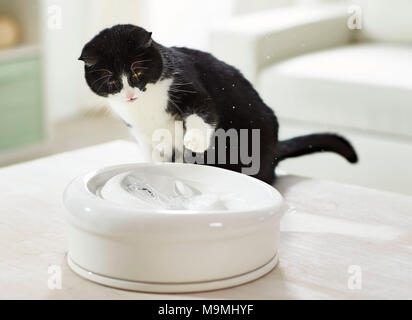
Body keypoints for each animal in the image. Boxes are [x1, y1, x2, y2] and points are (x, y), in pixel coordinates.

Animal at [80, 24, 358, 185]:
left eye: (137, 72)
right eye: (111, 80)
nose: (129, 94)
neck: (145, 106)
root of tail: (276, 151)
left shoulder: (190, 86)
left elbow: (203, 111)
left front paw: (194, 142)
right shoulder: (140, 131)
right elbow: (153, 153)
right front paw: (155, 167)